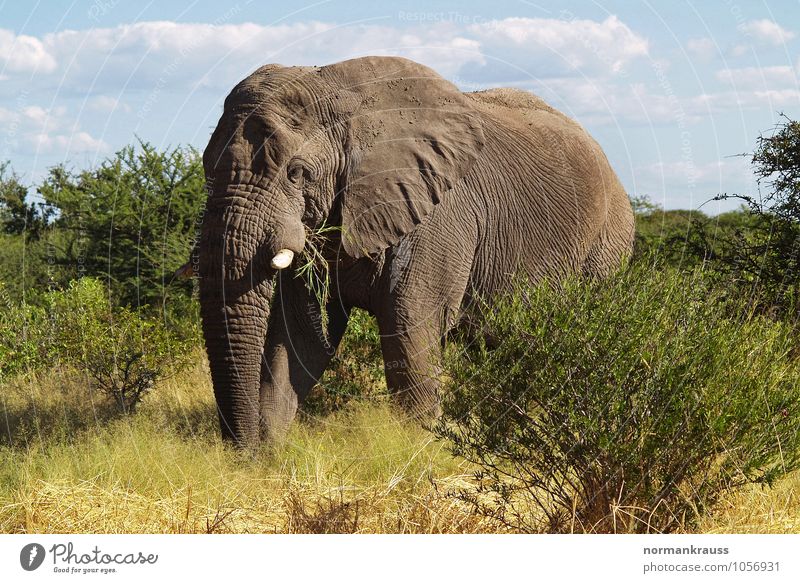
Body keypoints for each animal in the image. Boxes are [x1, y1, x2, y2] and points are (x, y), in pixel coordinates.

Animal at [197, 56, 636, 448]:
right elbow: (295, 334)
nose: (240, 451)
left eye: (297, 173)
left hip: (607, 243)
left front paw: (415, 456)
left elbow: (408, 321)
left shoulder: (440, 217)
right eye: (206, 168)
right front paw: (271, 454)